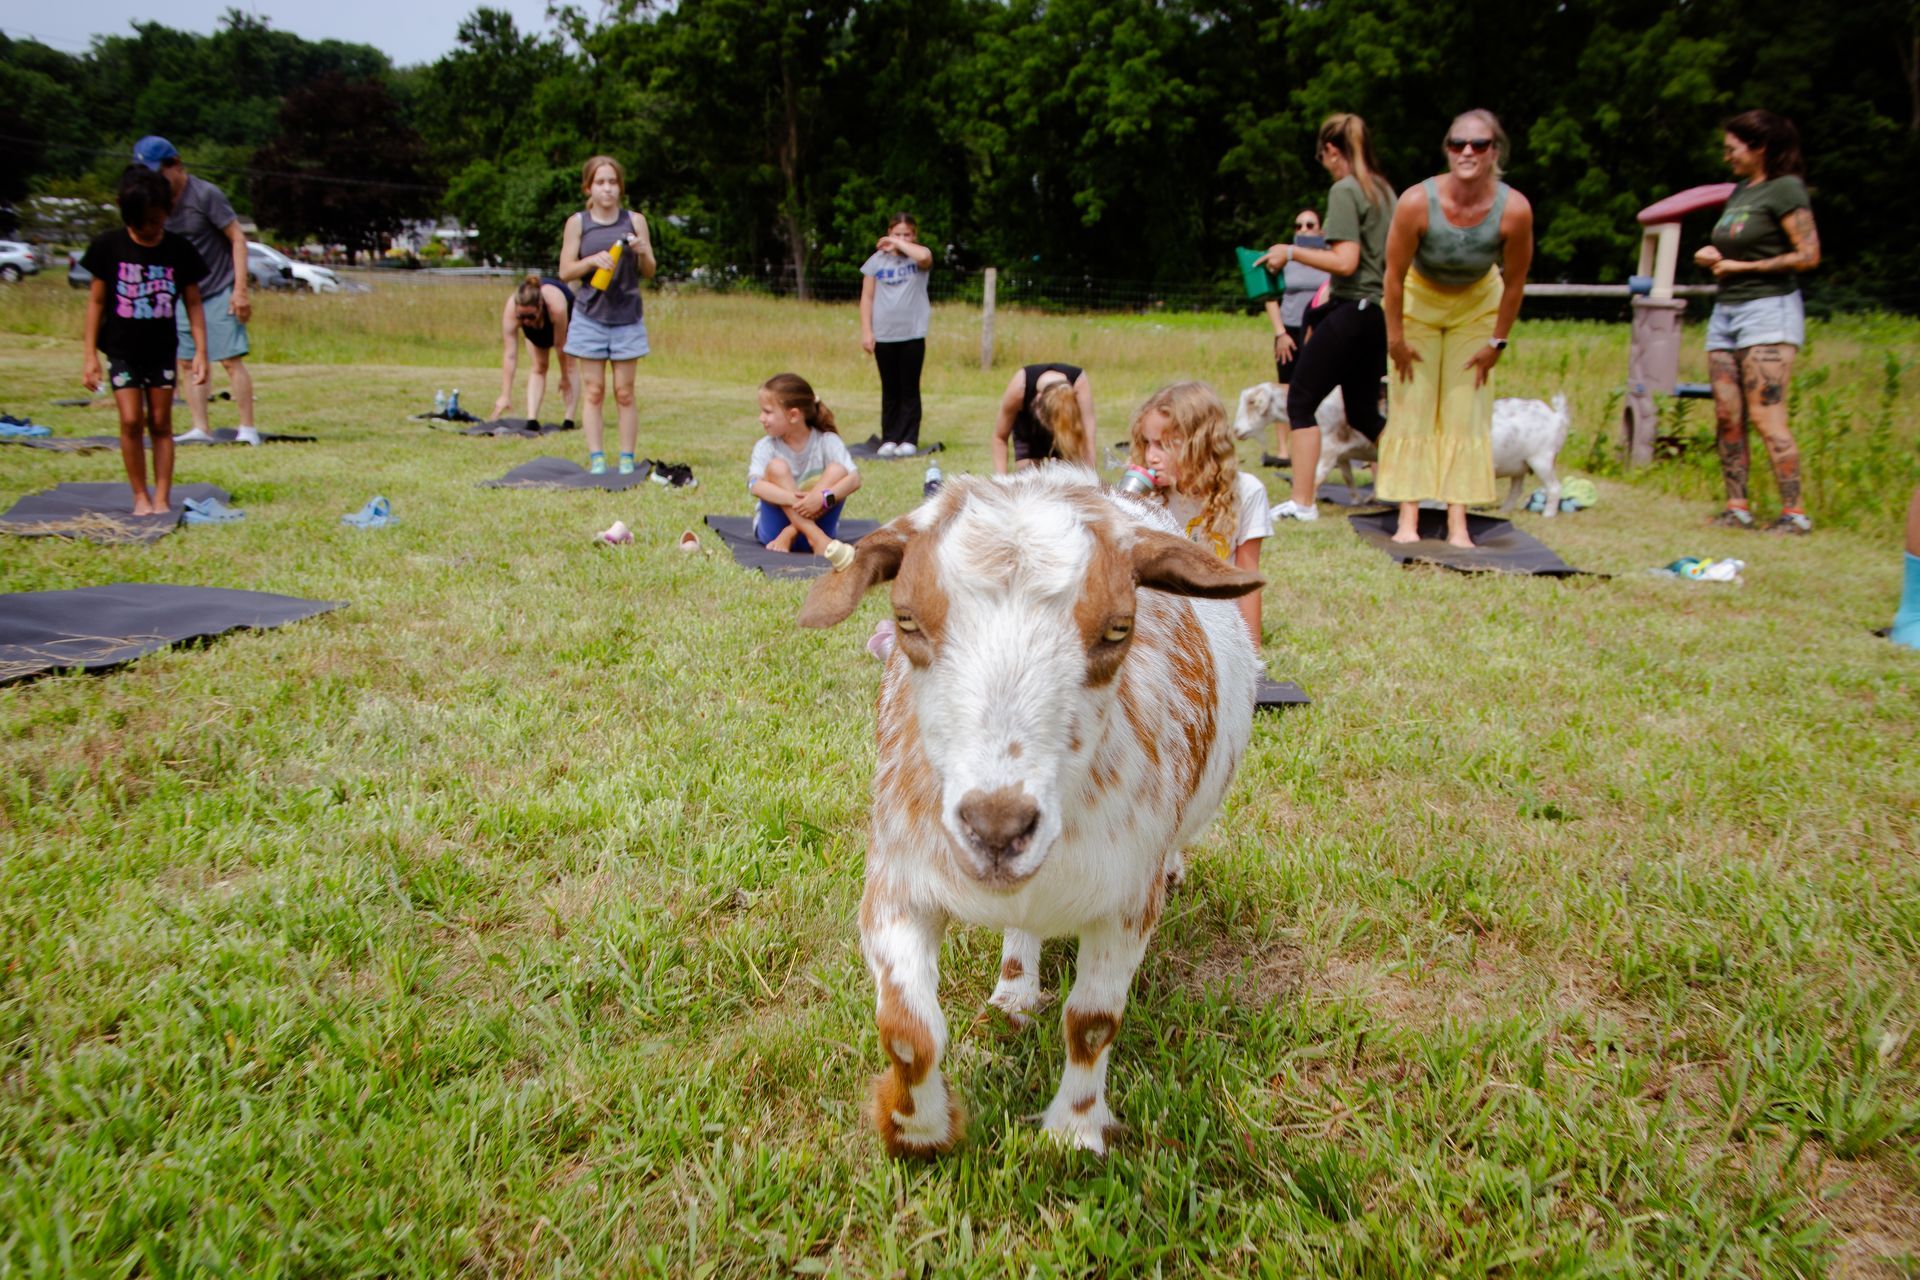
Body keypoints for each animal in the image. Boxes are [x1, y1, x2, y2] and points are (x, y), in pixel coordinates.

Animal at [797, 467, 1263, 1155]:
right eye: (905, 619)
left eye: (1119, 628)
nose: (997, 829)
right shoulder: (897, 881)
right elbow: (909, 1030)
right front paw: (918, 1130)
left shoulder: (1128, 900)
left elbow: (1093, 1023)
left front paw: (1074, 1132)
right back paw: (1014, 994)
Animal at [1234, 383, 1572, 514]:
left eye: (1252, 403)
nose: (1236, 430)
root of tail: (1557, 416)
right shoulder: (1342, 452)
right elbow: (1348, 477)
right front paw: (1358, 499)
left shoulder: (1329, 445)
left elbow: (1317, 474)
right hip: (1521, 464)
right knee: (1516, 487)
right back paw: (1503, 510)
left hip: (1542, 459)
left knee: (1554, 487)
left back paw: (1548, 513)